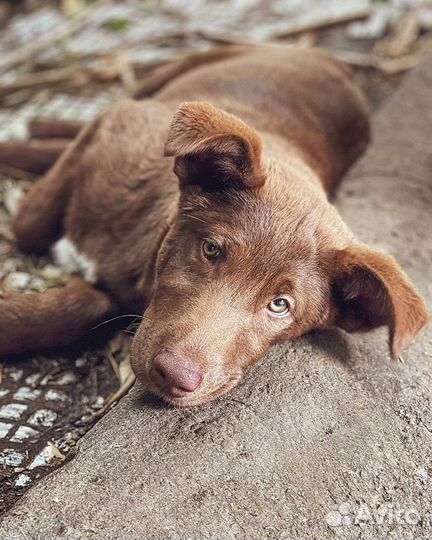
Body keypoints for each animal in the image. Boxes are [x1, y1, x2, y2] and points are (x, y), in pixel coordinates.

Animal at [0, 46, 426, 404]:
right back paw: (36, 129)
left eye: (280, 306)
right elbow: (28, 223)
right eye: (211, 250)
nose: (175, 375)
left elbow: (81, 307)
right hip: (177, 72)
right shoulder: (116, 123)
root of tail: (339, 63)